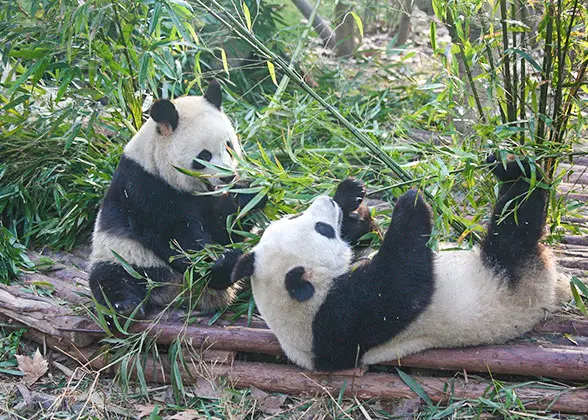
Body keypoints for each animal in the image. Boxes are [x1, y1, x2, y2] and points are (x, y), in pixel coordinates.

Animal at [89, 81, 264, 318]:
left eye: (228, 146)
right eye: (204, 156)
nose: (226, 176)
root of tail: (177, 292)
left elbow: (225, 227)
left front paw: (252, 191)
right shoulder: (145, 188)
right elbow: (176, 236)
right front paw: (220, 263)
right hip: (122, 256)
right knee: (112, 279)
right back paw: (125, 307)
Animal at [232, 157, 560, 370]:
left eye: (292, 216)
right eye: (321, 229)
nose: (327, 202)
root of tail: (547, 288)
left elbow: (366, 241)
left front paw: (351, 198)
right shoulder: (342, 318)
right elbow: (402, 284)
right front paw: (411, 202)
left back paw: (508, 165)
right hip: (508, 276)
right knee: (515, 226)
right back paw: (519, 176)